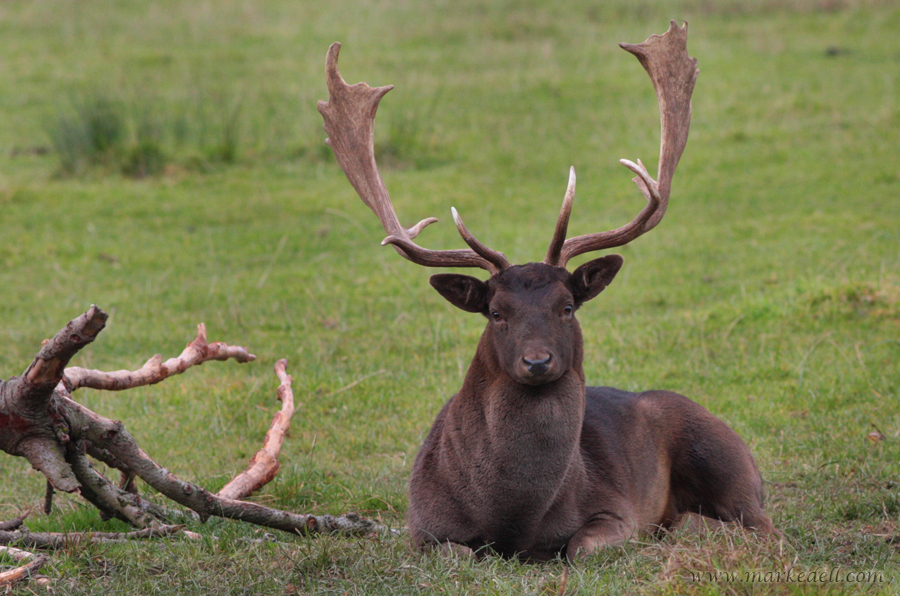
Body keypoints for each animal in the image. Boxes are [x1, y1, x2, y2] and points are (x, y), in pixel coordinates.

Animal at [317, 21, 776, 561]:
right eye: (496, 312)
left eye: (568, 306)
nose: (537, 362)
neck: (512, 518)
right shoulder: (423, 526)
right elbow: (458, 551)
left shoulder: (616, 507)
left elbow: (578, 547)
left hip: (726, 457)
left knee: (761, 522)